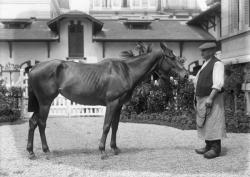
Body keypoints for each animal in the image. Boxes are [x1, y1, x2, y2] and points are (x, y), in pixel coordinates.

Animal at [26, 42, 188, 159]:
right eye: (172, 57)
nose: (185, 75)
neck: (127, 71)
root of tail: (34, 68)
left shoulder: (119, 105)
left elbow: (115, 126)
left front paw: (115, 148)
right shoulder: (112, 103)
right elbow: (106, 126)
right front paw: (102, 151)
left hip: (40, 104)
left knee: (33, 122)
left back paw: (31, 152)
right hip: (45, 103)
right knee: (41, 124)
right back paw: (46, 151)